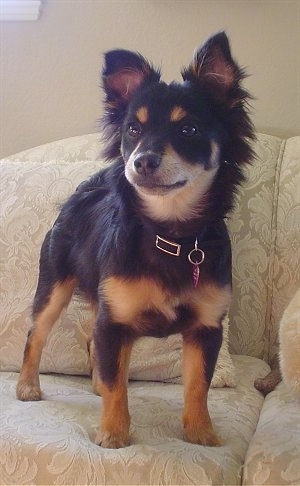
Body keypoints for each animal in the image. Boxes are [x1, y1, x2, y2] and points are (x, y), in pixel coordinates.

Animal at [16, 31, 254, 448]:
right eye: (132, 131)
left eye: (188, 130)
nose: (140, 160)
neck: (171, 235)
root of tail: (86, 189)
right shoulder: (115, 322)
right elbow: (118, 385)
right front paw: (113, 434)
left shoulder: (206, 329)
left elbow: (198, 385)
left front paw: (200, 433)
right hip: (54, 286)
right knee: (37, 334)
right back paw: (28, 386)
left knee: (93, 347)